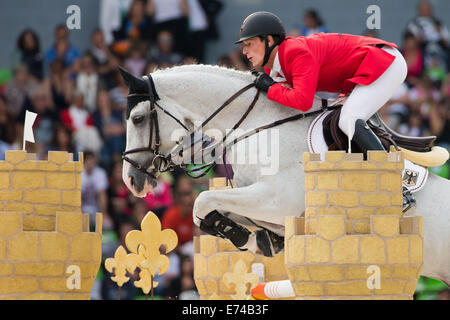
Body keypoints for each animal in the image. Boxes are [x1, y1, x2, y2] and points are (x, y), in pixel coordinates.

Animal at [118, 64, 450, 284]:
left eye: (137, 119)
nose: (131, 180)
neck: (258, 123)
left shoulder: (278, 199)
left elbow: (203, 202)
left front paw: (246, 239)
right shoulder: (261, 201)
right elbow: (216, 209)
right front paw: (265, 241)